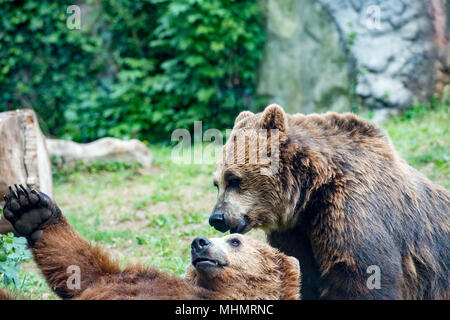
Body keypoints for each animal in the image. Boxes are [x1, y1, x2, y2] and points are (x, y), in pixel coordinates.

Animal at [209, 104, 448, 298]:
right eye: (216, 183)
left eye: (233, 179)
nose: (216, 218)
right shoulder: (296, 232)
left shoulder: (349, 208)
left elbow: (365, 274)